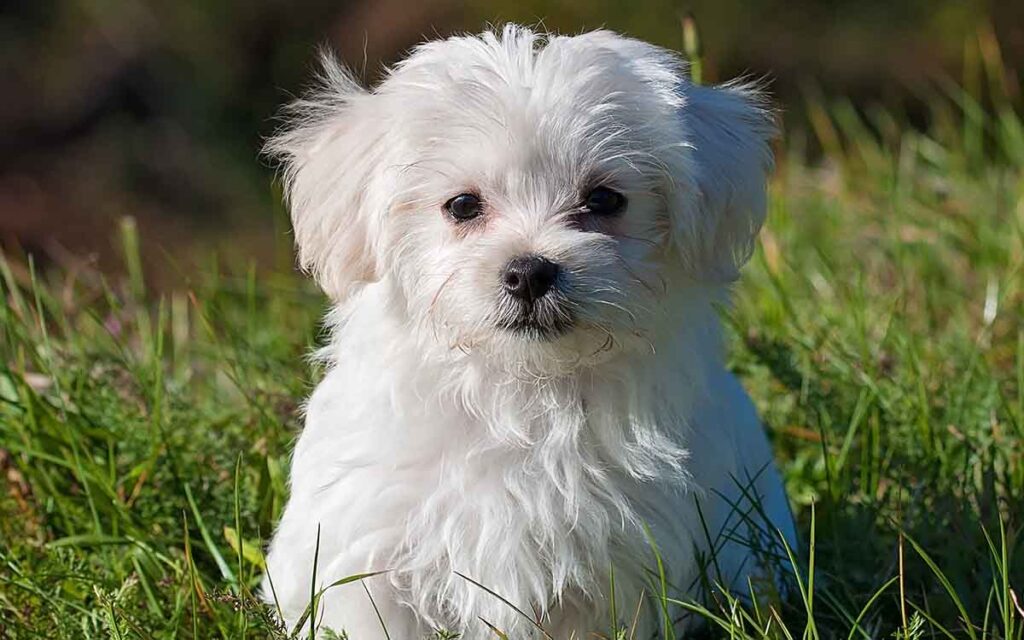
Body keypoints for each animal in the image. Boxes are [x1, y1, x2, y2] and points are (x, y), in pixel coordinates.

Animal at [264, 24, 798, 638]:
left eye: (604, 199)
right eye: (462, 205)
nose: (529, 272)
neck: (523, 391)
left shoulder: (618, 569)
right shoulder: (364, 547)